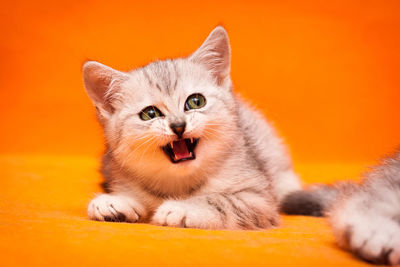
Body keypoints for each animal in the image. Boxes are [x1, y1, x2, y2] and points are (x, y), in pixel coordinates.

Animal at [83, 26, 300, 230]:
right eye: (150, 114)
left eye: (196, 101)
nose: (178, 125)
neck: (179, 184)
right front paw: (113, 202)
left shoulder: (260, 200)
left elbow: (221, 200)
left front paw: (182, 208)